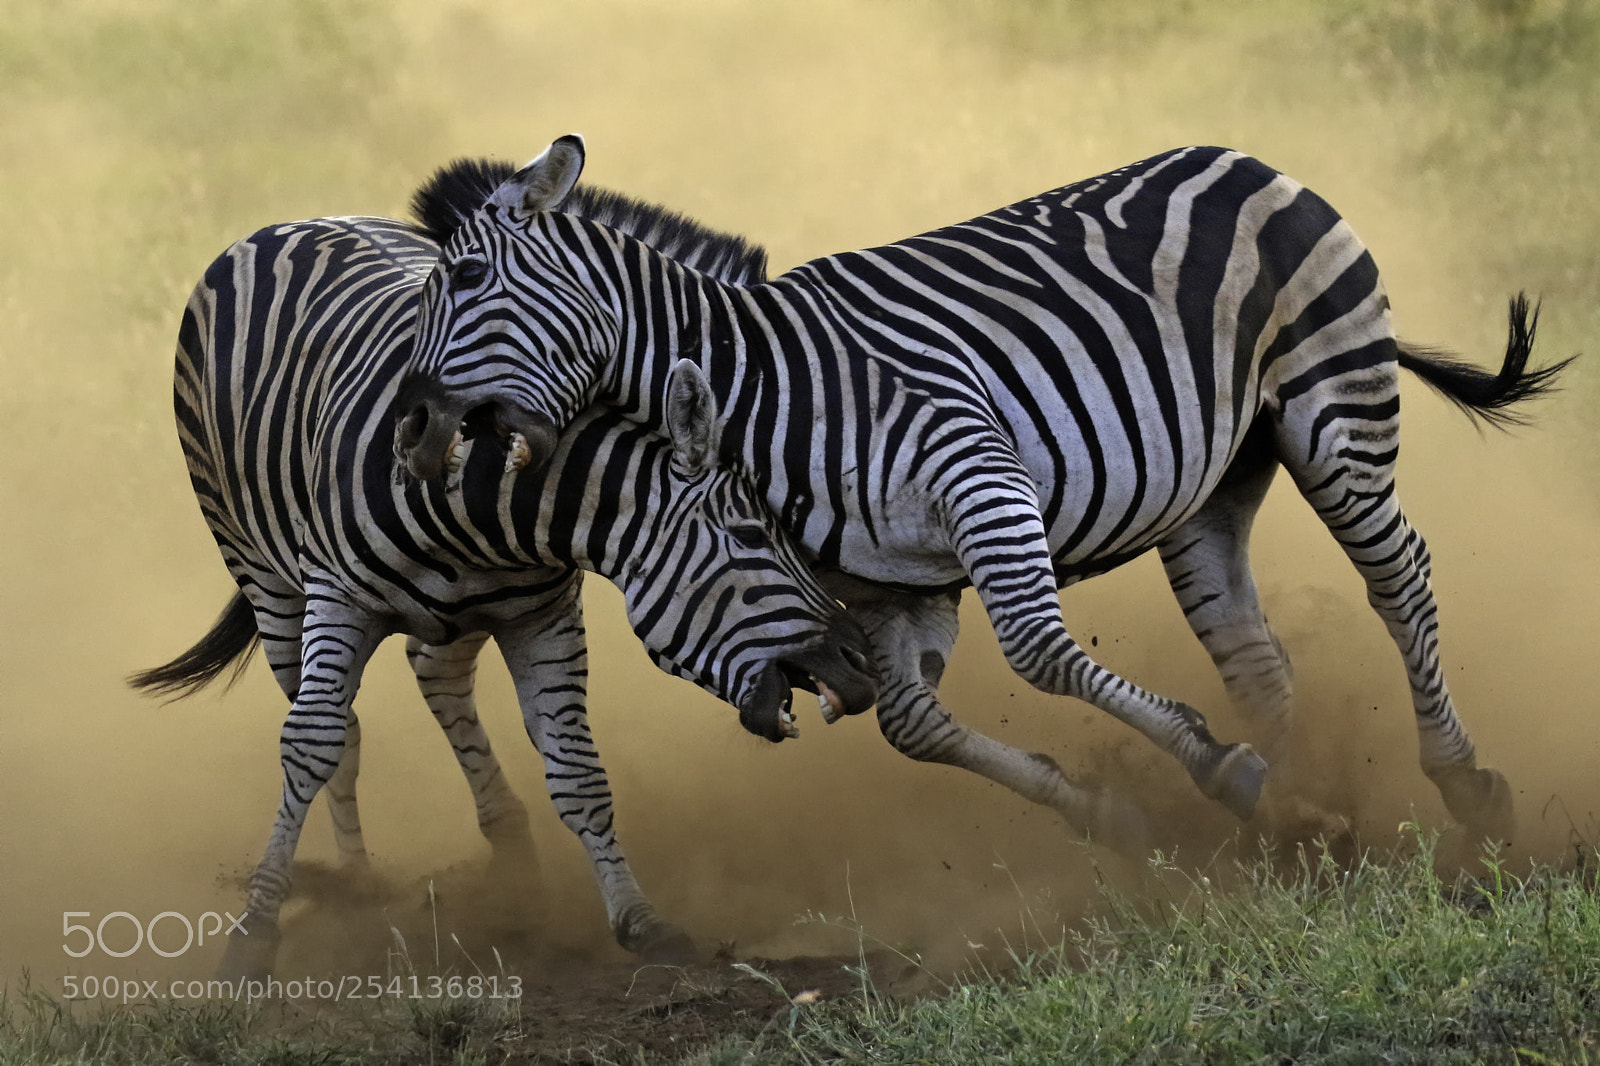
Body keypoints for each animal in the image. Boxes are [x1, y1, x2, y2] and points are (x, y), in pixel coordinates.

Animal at [132, 160, 878, 979]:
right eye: (750, 536)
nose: (859, 665)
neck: (487, 507)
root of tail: (296, 221)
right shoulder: (339, 598)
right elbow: (311, 744)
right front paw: (254, 936)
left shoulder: (541, 617)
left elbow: (578, 770)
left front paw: (642, 922)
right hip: (261, 573)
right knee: (338, 728)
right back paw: (356, 885)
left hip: (448, 616)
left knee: (438, 680)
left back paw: (512, 857)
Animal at [396, 137, 1570, 848]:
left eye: (463, 280)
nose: (405, 429)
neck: (772, 385)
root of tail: (1238, 155)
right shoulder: (895, 585)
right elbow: (911, 723)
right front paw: (1114, 809)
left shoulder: (981, 476)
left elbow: (1042, 653)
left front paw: (1202, 759)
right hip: (1211, 488)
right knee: (1251, 645)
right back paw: (1287, 801)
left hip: (1333, 396)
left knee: (1397, 572)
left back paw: (1461, 782)